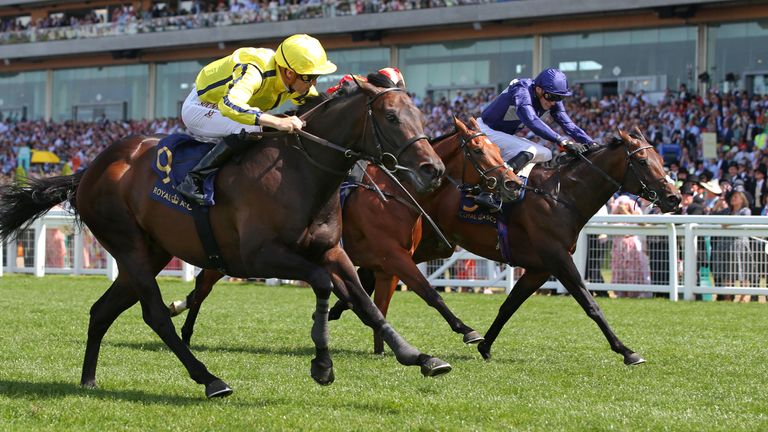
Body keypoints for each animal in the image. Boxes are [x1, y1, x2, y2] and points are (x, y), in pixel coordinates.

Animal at [0, 81, 456, 398]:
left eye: (420, 116)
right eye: (393, 118)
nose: (433, 169)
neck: (302, 173)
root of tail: (89, 170)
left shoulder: (331, 250)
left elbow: (364, 301)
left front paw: (419, 356)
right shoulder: (260, 257)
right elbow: (324, 286)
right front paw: (322, 363)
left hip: (150, 251)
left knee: (101, 311)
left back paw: (89, 380)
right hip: (128, 246)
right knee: (155, 315)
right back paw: (209, 379)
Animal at [165, 115, 520, 352]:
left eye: (497, 147)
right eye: (479, 150)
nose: (512, 183)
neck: (394, 195)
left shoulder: (385, 264)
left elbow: (378, 302)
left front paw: (382, 347)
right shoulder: (393, 257)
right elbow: (428, 293)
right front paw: (467, 331)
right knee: (203, 285)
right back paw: (184, 328)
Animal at [330, 129, 680, 364]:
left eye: (661, 159)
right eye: (644, 161)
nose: (674, 197)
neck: (560, 195)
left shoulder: (539, 268)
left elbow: (509, 306)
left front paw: (485, 345)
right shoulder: (558, 259)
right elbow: (590, 304)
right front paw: (627, 351)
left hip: (436, 244)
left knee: (373, 271)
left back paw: (341, 307)